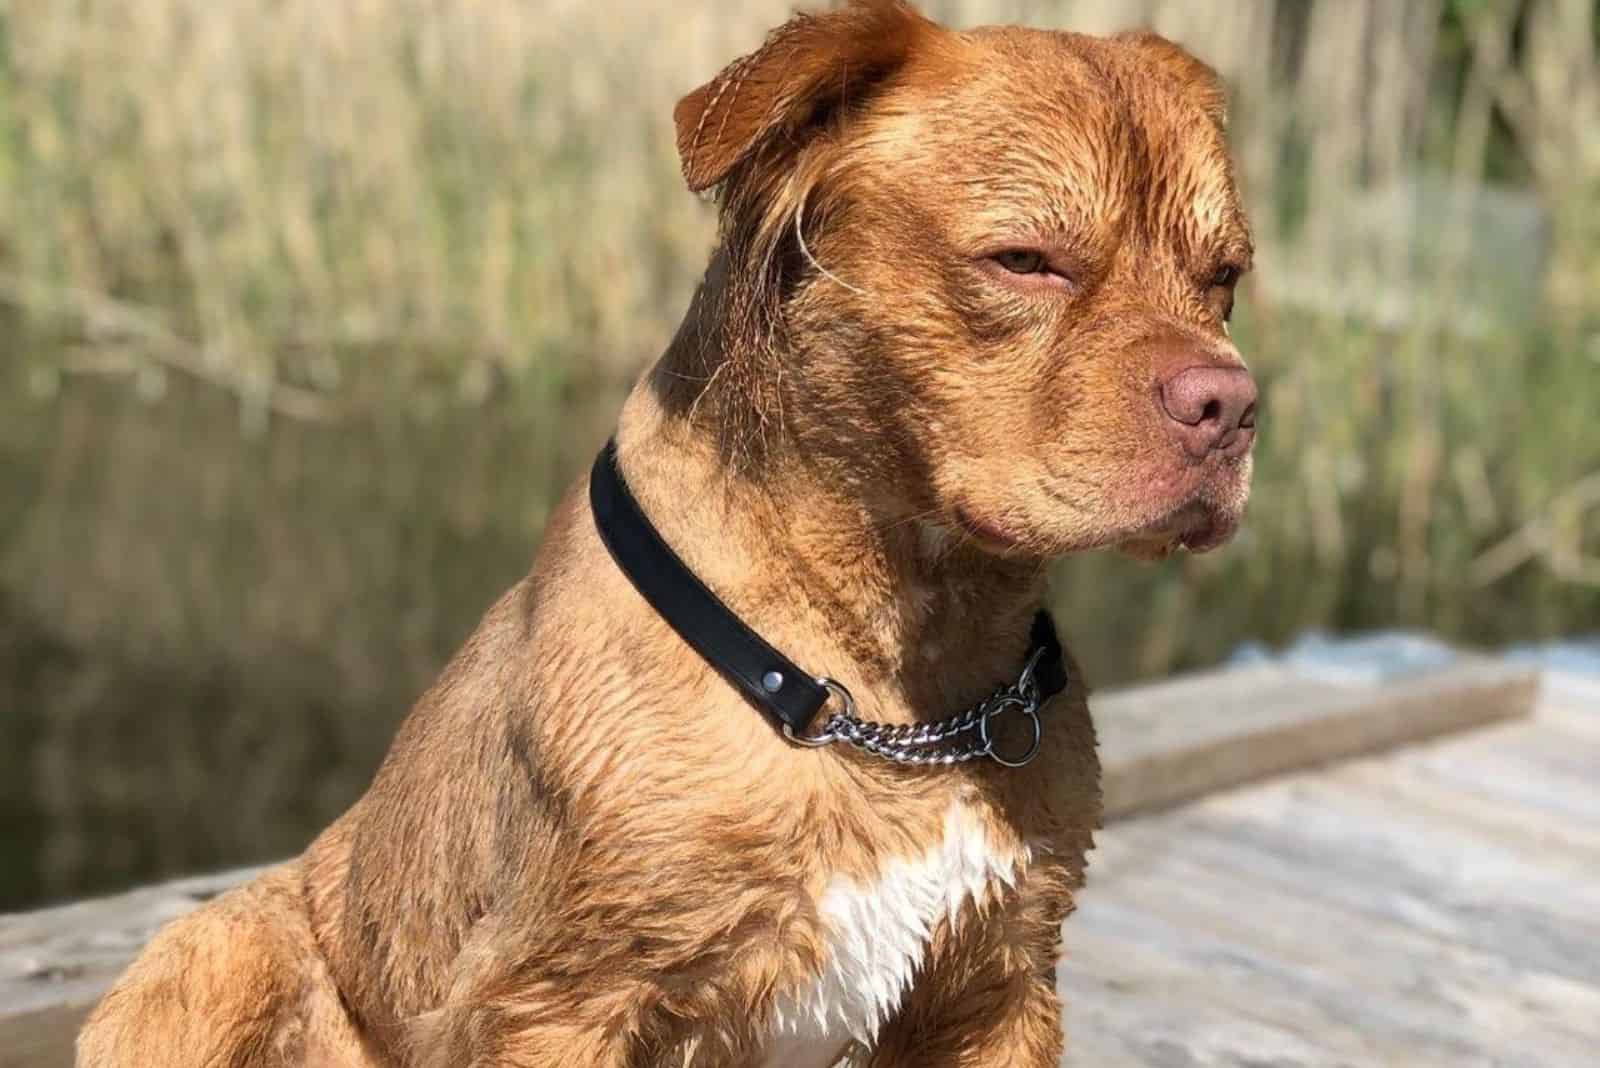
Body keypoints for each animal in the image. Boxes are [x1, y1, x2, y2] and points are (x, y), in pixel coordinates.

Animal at [78, 4, 1248, 1061]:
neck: (893, 679)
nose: (1231, 406)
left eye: (1225, 276)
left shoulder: (996, 988)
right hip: (215, 949)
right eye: (1025, 260)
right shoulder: (558, 1003)